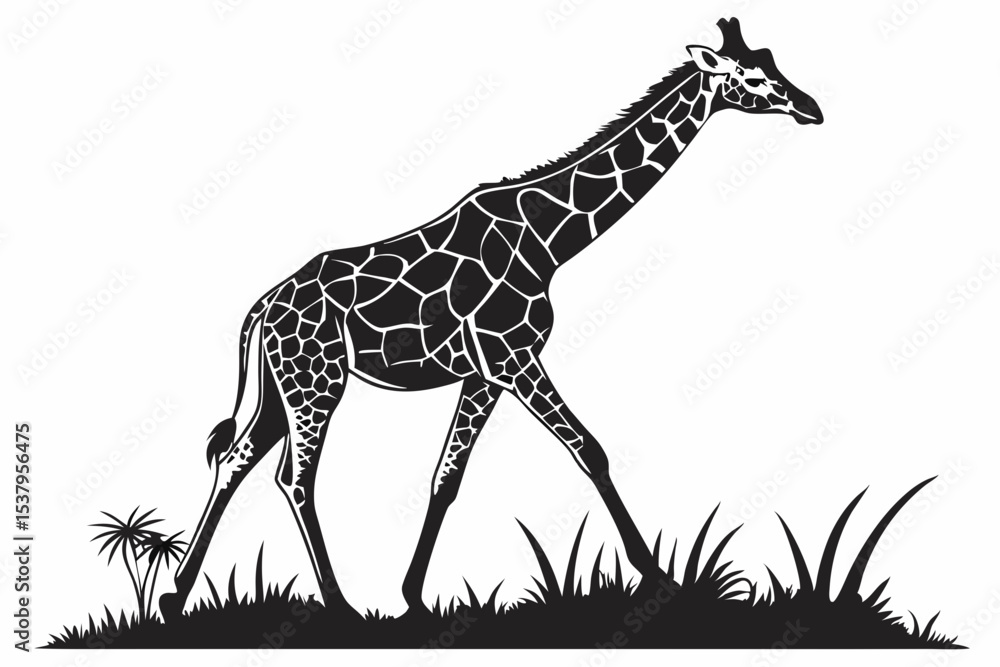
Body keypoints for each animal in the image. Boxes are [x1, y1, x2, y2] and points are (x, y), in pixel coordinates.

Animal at [160, 18, 822, 620]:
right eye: (750, 76)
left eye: (771, 59)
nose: (810, 107)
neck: (549, 240)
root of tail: (261, 309)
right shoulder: (514, 357)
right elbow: (591, 450)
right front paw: (658, 577)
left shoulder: (483, 374)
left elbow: (445, 478)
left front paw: (412, 597)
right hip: (316, 380)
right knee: (294, 478)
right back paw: (339, 607)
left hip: (282, 385)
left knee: (234, 461)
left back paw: (175, 596)